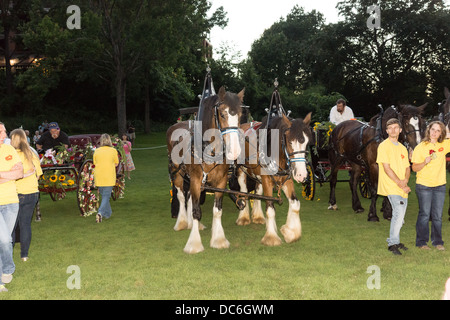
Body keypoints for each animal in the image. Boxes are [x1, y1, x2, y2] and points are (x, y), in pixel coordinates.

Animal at [165, 86, 243, 254]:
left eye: (240, 115)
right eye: (222, 114)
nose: (234, 151)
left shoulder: (220, 182)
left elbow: (217, 210)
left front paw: (218, 239)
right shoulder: (195, 180)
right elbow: (196, 211)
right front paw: (194, 244)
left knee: (188, 197)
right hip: (178, 173)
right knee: (181, 196)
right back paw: (182, 222)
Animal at [230, 112, 312, 245]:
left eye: (307, 143)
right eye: (290, 142)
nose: (301, 175)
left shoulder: (287, 180)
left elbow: (295, 204)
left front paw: (290, 233)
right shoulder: (267, 180)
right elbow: (270, 208)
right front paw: (271, 237)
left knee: (258, 192)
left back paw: (258, 216)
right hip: (241, 169)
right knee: (243, 191)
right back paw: (243, 217)